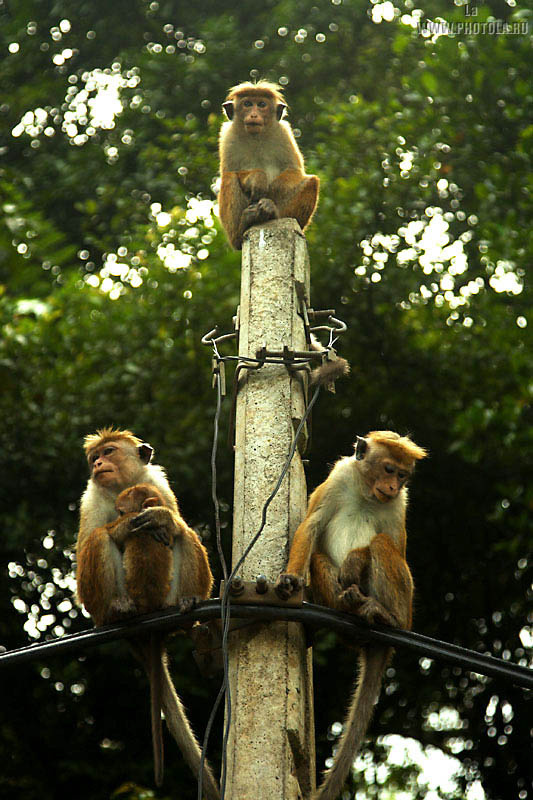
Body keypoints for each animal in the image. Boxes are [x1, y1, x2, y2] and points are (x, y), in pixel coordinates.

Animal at [76, 428, 220, 799]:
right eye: (94, 457)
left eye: (109, 452)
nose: (97, 464)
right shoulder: (91, 498)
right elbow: (87, 546)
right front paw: (127, 524)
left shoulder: (158, 482)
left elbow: (172, 518)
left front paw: (161, 518)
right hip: (99, 607)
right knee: (98, 540)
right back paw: (119, 611)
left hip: (170, 595)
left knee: (184, 533)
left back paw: (187, 604)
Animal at [218, 80, 319, 249]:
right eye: (247, 104)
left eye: (261, 104)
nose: (253, 114)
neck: (256, 137)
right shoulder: (228, 136)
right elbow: (231, 170)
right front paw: (258, 178)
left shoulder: (284, 133)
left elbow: (294, 170)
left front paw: (270, 191)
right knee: (229, 176)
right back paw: (243, 226)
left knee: (312, 182)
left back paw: (272, 211)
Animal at [275, 431, 427, 800]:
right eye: (388, 469)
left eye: (403, 476)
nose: (393, 486)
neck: (366, 491)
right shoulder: (339, 479)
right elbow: (311, 526)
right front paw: (291, 579)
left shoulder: (400, 504)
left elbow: (395, 546)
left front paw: (356, 560)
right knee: (318, 559)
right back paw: (351, 605)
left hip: (405, 607)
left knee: (383, 544)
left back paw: (383, 616)